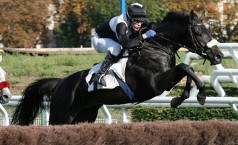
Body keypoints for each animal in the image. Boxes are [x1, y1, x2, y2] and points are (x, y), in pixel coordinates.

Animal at [11, 10, 223, 125]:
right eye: (198, 32)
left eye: (209, 29)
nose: (218, 55)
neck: (157, 47)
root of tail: (60, 83)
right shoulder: (155, 84)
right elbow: (185, 67)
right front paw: (200, 95)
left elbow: (187, 69)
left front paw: (182, 98)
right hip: (62, 115)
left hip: (85, 115)